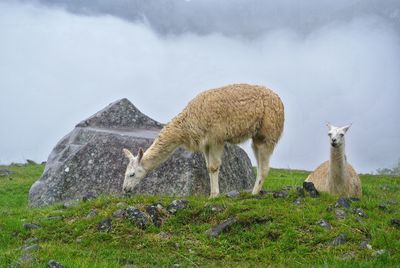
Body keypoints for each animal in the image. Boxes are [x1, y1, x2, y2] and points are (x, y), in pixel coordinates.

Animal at [122, 82, 284, 198]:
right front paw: (212, 194)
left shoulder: (217, 137)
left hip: (268, 131)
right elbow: (208, 168)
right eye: (125, 173)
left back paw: (254, 193)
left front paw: (214, 196)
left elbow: (214, 166)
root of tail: (278, 99)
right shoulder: (206, 142)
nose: (125, 189)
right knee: (260, 164)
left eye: (132, 174)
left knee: (264, 166)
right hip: (257, 136)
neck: (188, 122)